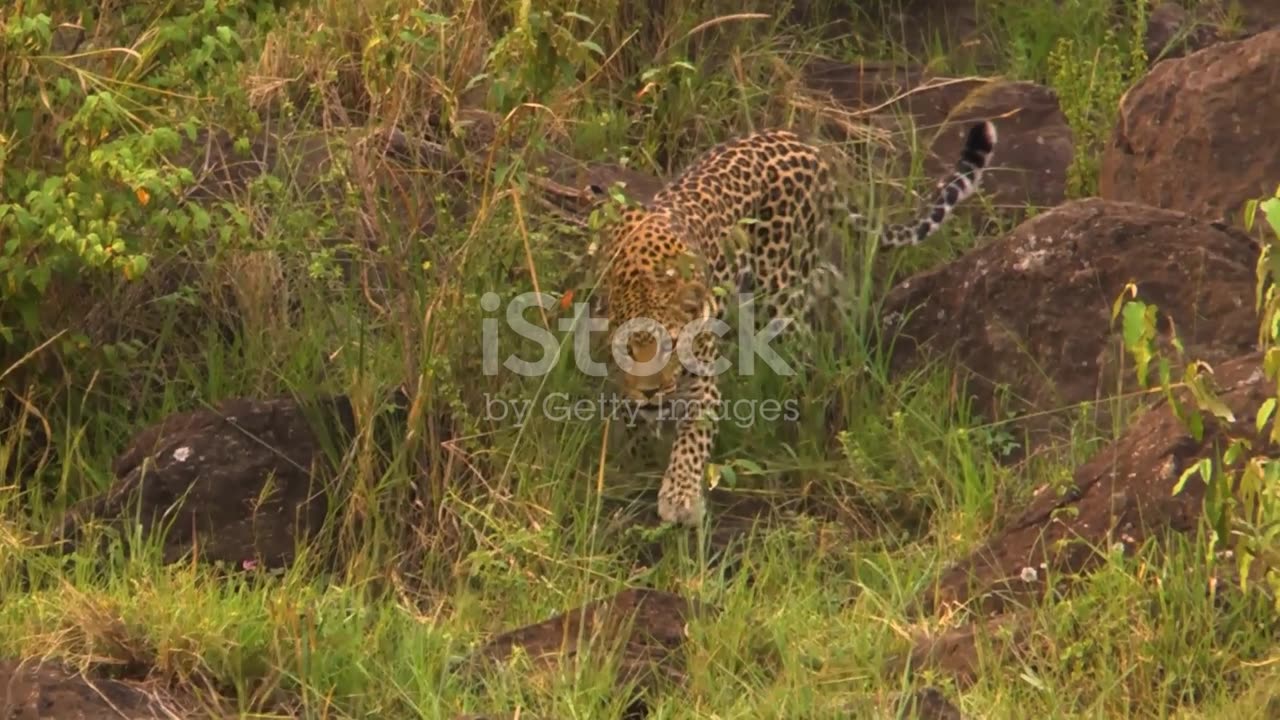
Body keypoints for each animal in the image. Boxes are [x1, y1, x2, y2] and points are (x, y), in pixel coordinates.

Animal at [583, 119, 998, 527]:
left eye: (670, 344)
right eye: (627, 349)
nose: (650, 392)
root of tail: (805, 145)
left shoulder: (703, 380)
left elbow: (692, 439)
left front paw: (680, 498)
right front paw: (635, 456)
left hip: (779, 288)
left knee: (807, 328)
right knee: (827, 280)